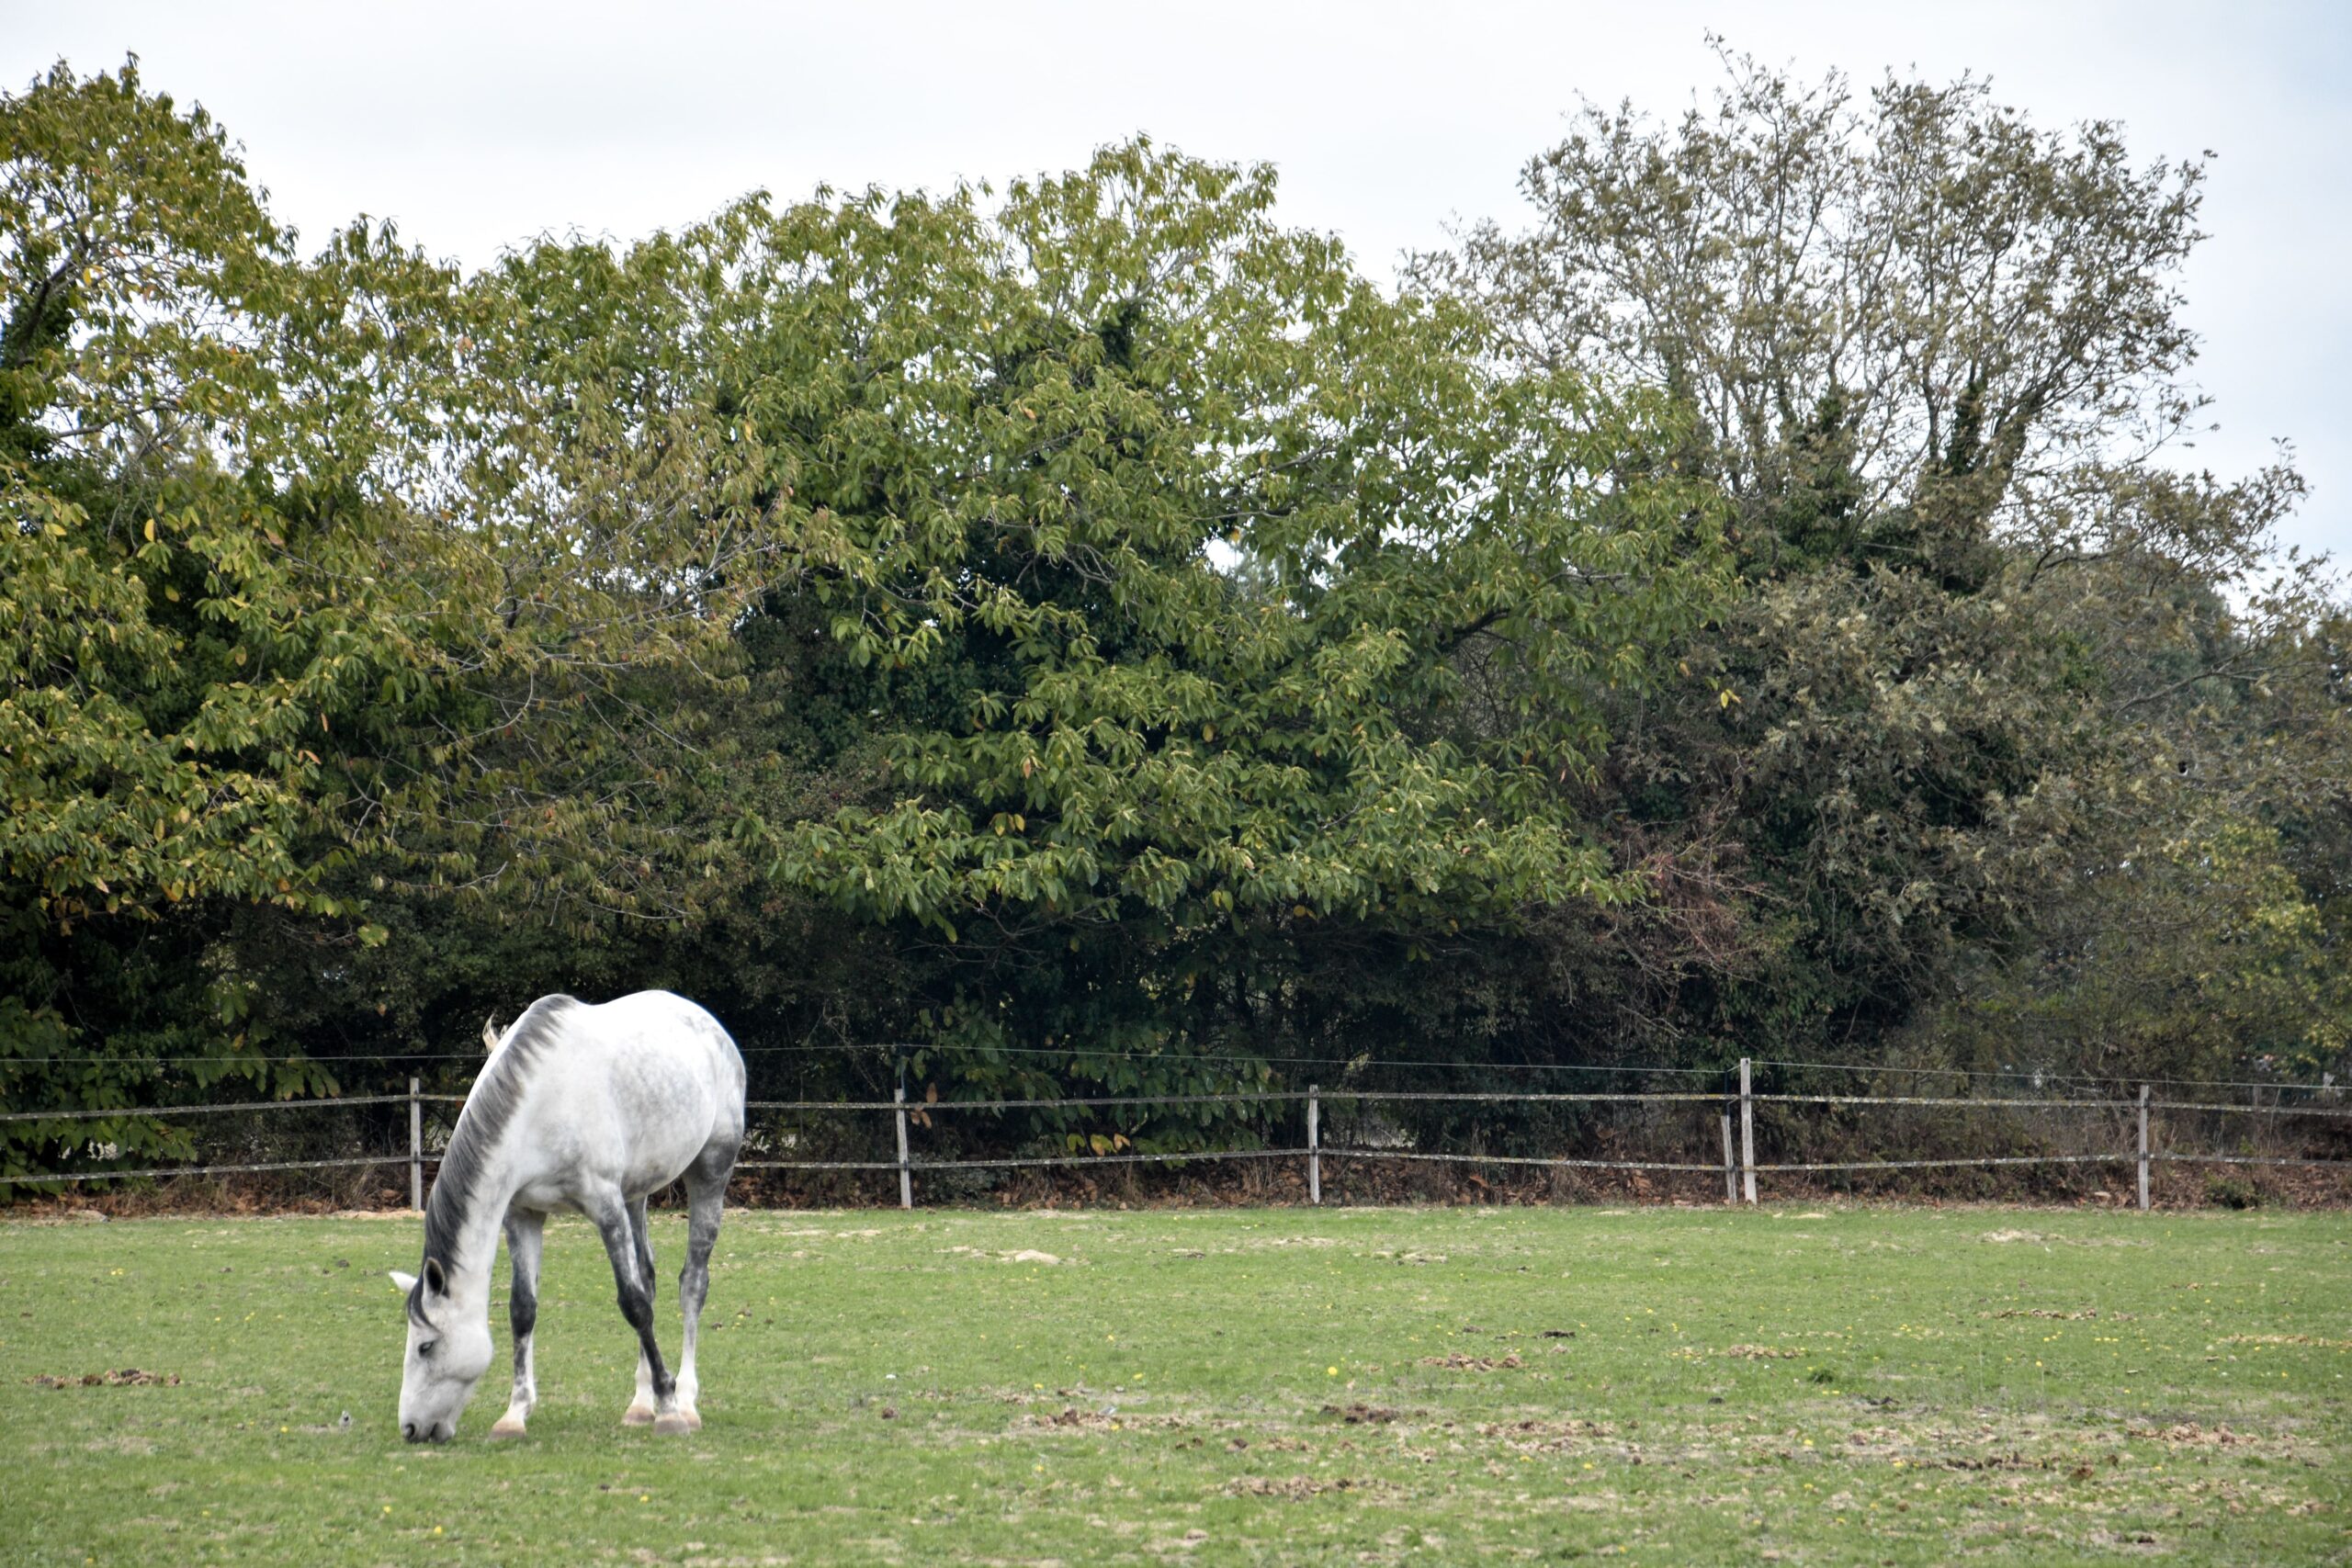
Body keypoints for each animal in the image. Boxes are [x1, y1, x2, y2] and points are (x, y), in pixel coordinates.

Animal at [387, 990, 746, 1442]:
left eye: (426, 1346)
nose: (411, 1427)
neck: (538, 1105)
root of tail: (711, 1028)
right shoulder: (523, 1214)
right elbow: (523, 1309)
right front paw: (514, 1414)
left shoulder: (605, 1205)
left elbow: (634, 1305)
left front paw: (668, 1408)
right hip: (636, 1192)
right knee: (648, 1276)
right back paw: (639, 1404)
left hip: (711, 1172)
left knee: (692, 1284)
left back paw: (685, 1402)